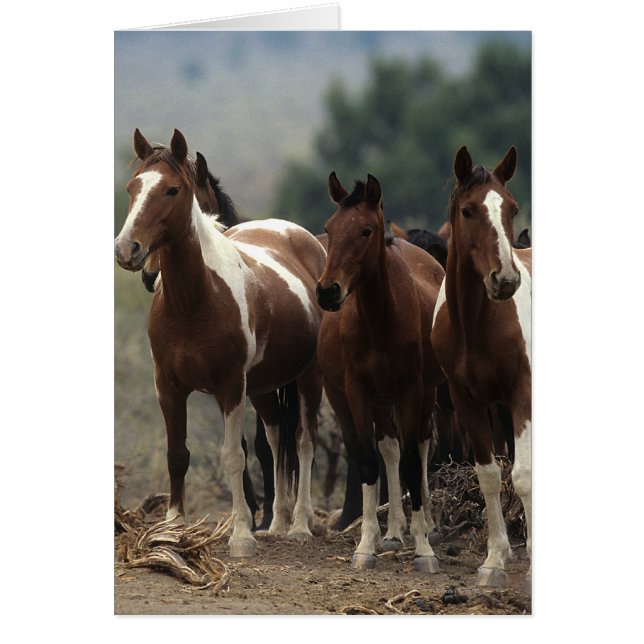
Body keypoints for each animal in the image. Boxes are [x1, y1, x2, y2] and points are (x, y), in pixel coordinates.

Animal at [114, 128, 326, 557]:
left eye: (173, 189)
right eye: (132, 187)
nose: (127, 249)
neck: (194, 300)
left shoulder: (230, 387)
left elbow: (233, 456)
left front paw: (241, 534)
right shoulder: (169, 387)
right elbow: (177, 455)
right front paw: (172, 528)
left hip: (308, 378)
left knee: (304, 441)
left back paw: (298, 525)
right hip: (264, 387)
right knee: (276, 439)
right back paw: (277, 522)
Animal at [316, 173, 446, 572]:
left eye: (366, 230)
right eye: (330, 227)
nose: (328, 292)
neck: (379, 319)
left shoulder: (411, 389)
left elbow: (411, 463)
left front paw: (424, 550)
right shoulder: (357, 391)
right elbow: (370, 460)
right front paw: (365, 546)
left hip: (425, 393)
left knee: (420, 447)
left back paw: (426, 526)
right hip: (374, 399)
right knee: (389, 447)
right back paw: (392, 534)